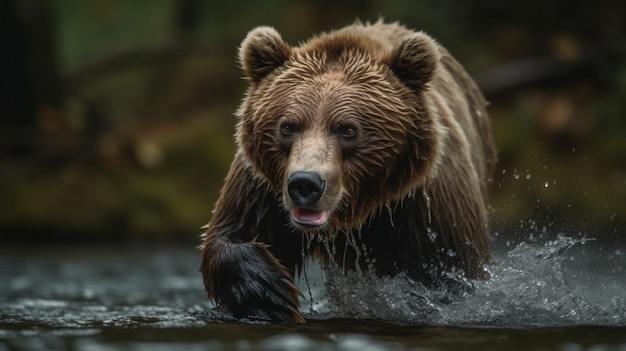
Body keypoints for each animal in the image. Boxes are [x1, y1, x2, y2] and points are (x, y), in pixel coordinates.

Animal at [197, 21, 494, 324]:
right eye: (287, 126)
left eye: (348, 129)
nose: (305, 184)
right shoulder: (262, 187)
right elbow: (231, 233)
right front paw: (270, 291)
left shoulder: (426, 203)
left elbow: (451, 269)